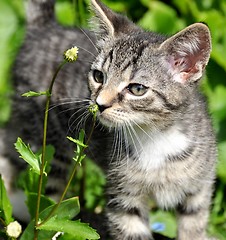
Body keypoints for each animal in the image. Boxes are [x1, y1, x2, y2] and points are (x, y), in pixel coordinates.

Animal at [0, 0, 217, 240]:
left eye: (137, 89)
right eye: (98, 76)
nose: (100, 103)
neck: (156, 137)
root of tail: (45, 27)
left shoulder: (199, 190)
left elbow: (193, 229)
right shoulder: (124, 196)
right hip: (44, 137)